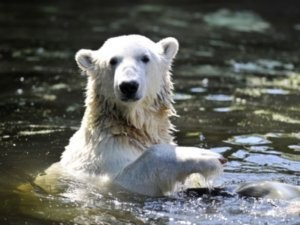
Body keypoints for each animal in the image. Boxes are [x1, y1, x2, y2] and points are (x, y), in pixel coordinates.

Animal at [51, 34, 225, 196]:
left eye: (145, 58)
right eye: (112, 61)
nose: (128, 86)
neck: (130, 129)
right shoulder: (101, 161)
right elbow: (128, 179)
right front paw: (203, 156)